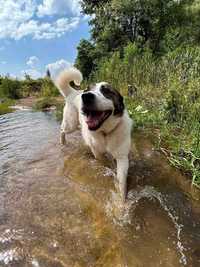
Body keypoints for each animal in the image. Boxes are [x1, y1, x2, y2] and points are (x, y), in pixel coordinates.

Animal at [55, 67, 133, 201]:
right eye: (87, 90)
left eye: (106, 91)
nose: (86, 96)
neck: (105, 132)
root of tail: (74, 92)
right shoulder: (97, 153)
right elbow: (105, 161)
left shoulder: (122, 157)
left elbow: (122, 181)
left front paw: (122, 200)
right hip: (71, 124)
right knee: (62, 130)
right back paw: (62, 142)